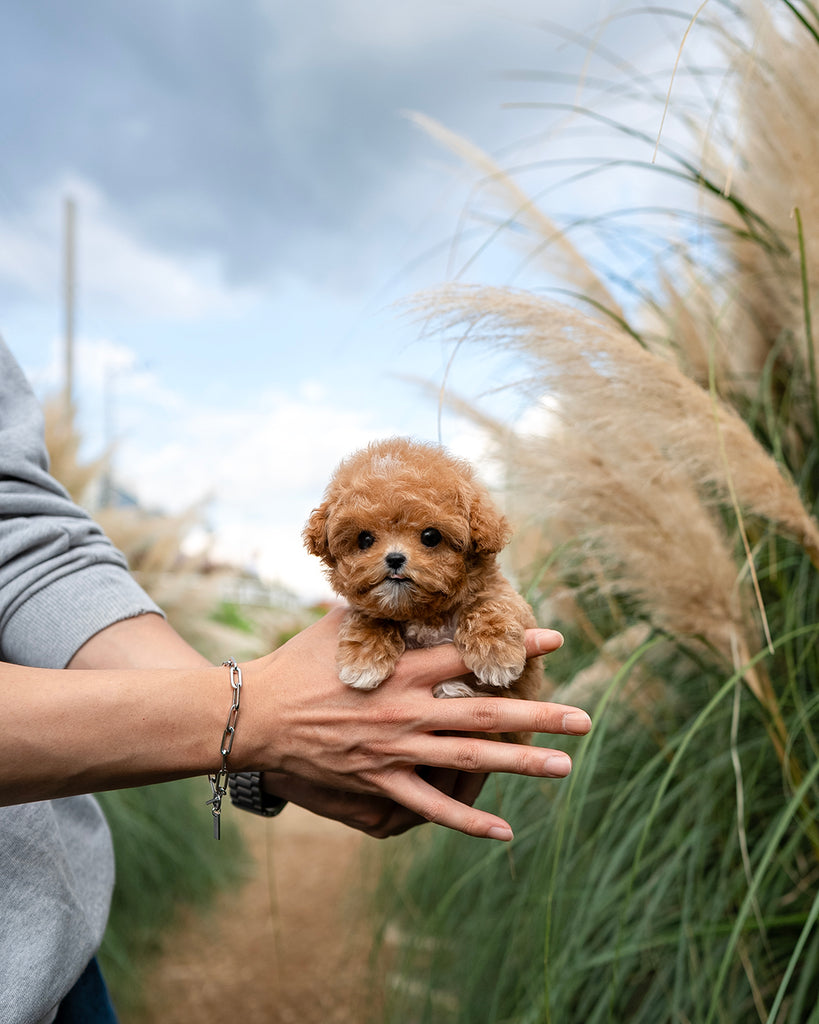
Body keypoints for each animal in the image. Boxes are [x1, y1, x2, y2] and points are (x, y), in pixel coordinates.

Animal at [303, 436, 540, 724]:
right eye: (365, 539)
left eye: (430, 536)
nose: (394, 558)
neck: (425, 616)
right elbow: (370, 616)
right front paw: (363, 659)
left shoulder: (512, 603)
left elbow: (490, 605)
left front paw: (495, 653)